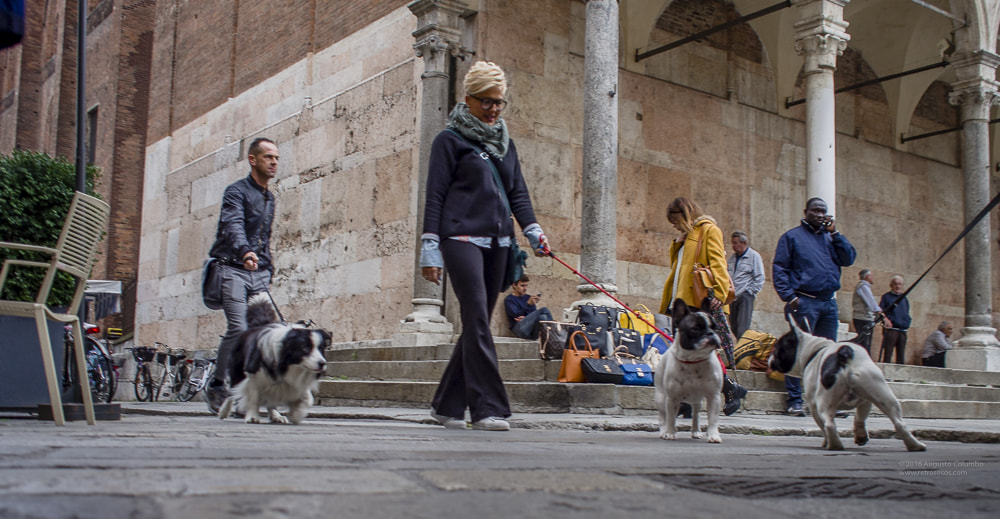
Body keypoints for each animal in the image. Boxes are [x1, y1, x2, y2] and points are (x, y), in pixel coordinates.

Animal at [652, 300, 724, 442]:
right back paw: (664, 431)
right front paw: (670, 433)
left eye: (716, 328)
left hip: (697, 401)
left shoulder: (714, 396)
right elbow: (670, 418)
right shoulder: (672, 398)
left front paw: (713, 435)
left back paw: (696, 431)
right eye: (695, 329)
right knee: (663, 417)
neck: (694, 361)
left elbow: (713, 419)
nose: (711, 333)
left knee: (696, 414)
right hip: (661, 397)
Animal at [768, 314, 924, 452]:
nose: (770, 358)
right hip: (881, 392)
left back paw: (834, 445)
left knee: (829, 424)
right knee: (899, 422)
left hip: (823, 400)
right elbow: (860, 417)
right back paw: (915, 446)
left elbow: (822, 426)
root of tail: (843, 354)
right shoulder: (866, 400)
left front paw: (825, 441)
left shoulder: (813, 405)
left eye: (776, 349)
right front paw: (861, 436)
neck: (813, 350)